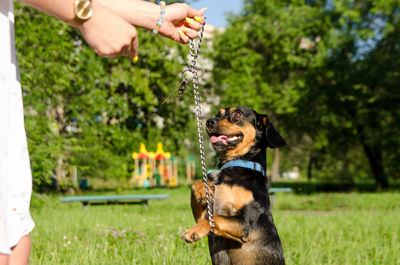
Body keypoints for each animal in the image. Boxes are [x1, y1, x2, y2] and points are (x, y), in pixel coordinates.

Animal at [181, 105, 288, 264]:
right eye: (218, 114)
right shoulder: (203, 215)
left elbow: (215, 219)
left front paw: (193, 232)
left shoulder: (244, 225)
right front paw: (202, 191)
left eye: (237, 114)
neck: (235, 165)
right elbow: (197, 183)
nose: (209, 121)